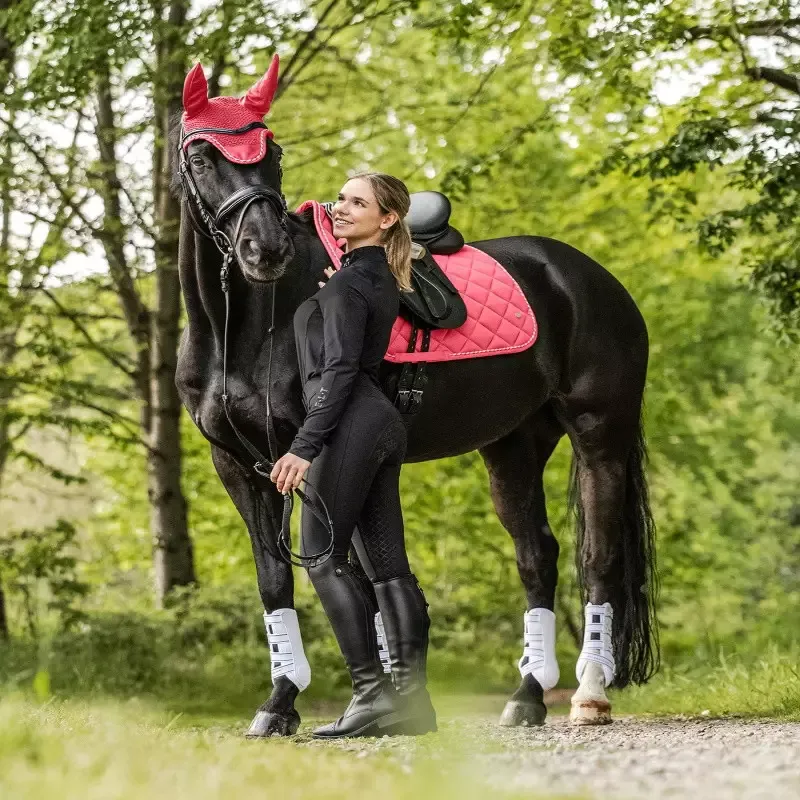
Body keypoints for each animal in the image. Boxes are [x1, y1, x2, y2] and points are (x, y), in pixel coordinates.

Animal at [173, 57, 658, 737]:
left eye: (274, 153)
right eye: (202, 157)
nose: (265, 250)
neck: (245, 330)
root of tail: (591, 278)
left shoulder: (314, 461)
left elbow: (356, 578)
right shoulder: (240, 466)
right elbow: (278, 582)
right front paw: (280, 703)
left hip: (599, 436)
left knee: (599, 559)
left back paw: (589, 694)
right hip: (512, 447)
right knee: (537, 555)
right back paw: (528, 696)